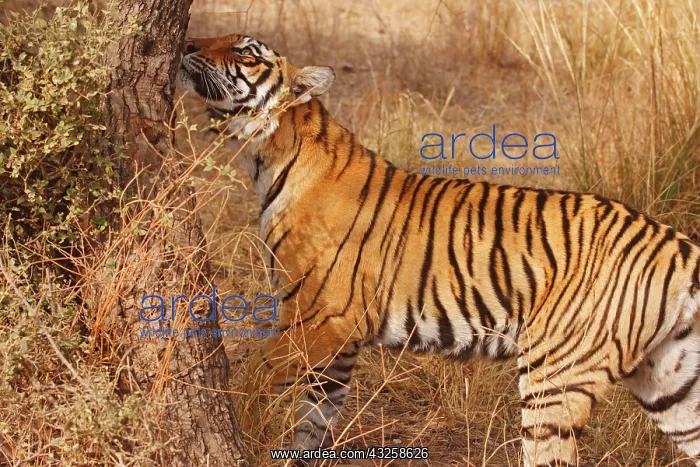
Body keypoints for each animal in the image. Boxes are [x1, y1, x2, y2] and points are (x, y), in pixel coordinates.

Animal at [177, 33, 700, 466]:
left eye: (245, 51)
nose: (187, 43)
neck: (267, 157)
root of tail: (672, 239)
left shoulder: (317, 320)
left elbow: (253, 378)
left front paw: (241, 429)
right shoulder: (339, 342)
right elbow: (314, 422)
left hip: (556, 375)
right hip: (672, 386)